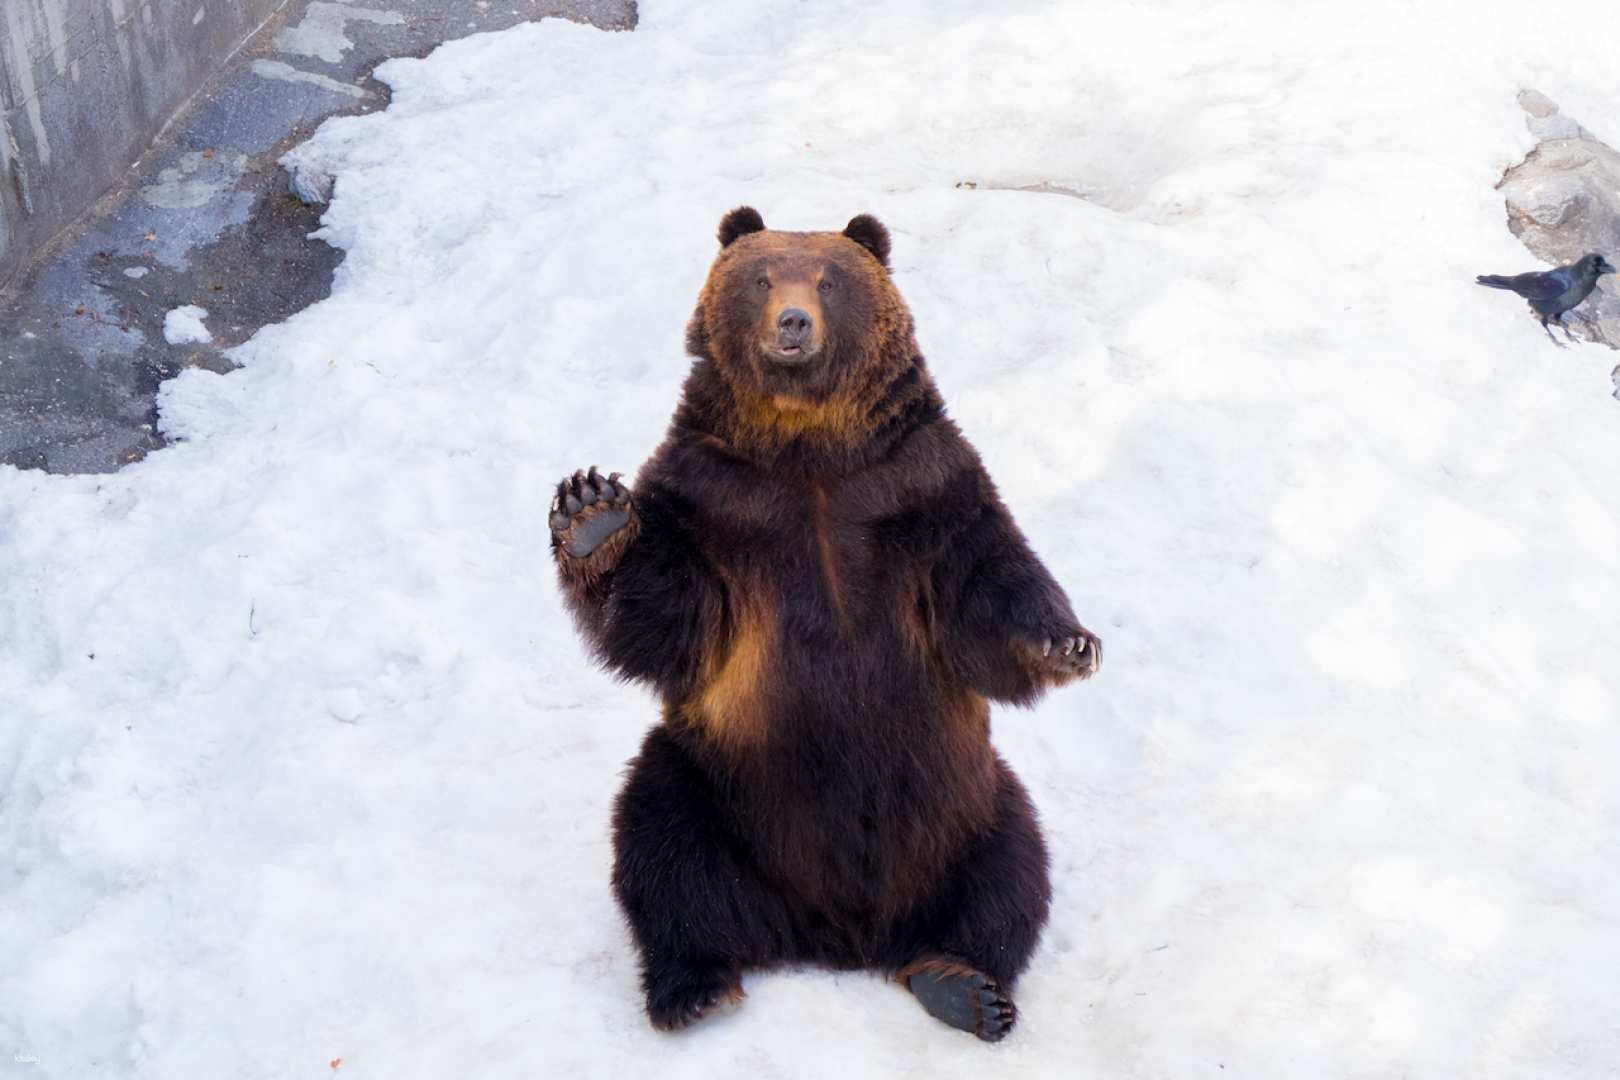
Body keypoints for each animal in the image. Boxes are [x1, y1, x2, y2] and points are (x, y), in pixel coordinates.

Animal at [548, 206, 1102, 1042]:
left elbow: (985, 590)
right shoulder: (714, 498)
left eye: (830, 279)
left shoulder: (921, 486)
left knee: (1009, 871)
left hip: (964, 800)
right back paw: (693, 985)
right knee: (660, 842)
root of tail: (838, 935)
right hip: (719, 789)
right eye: (761, 276)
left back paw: (962, 983)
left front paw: (1068, 643)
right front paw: (591, 512)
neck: (807, 445)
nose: (794, 323)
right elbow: (670, 618)